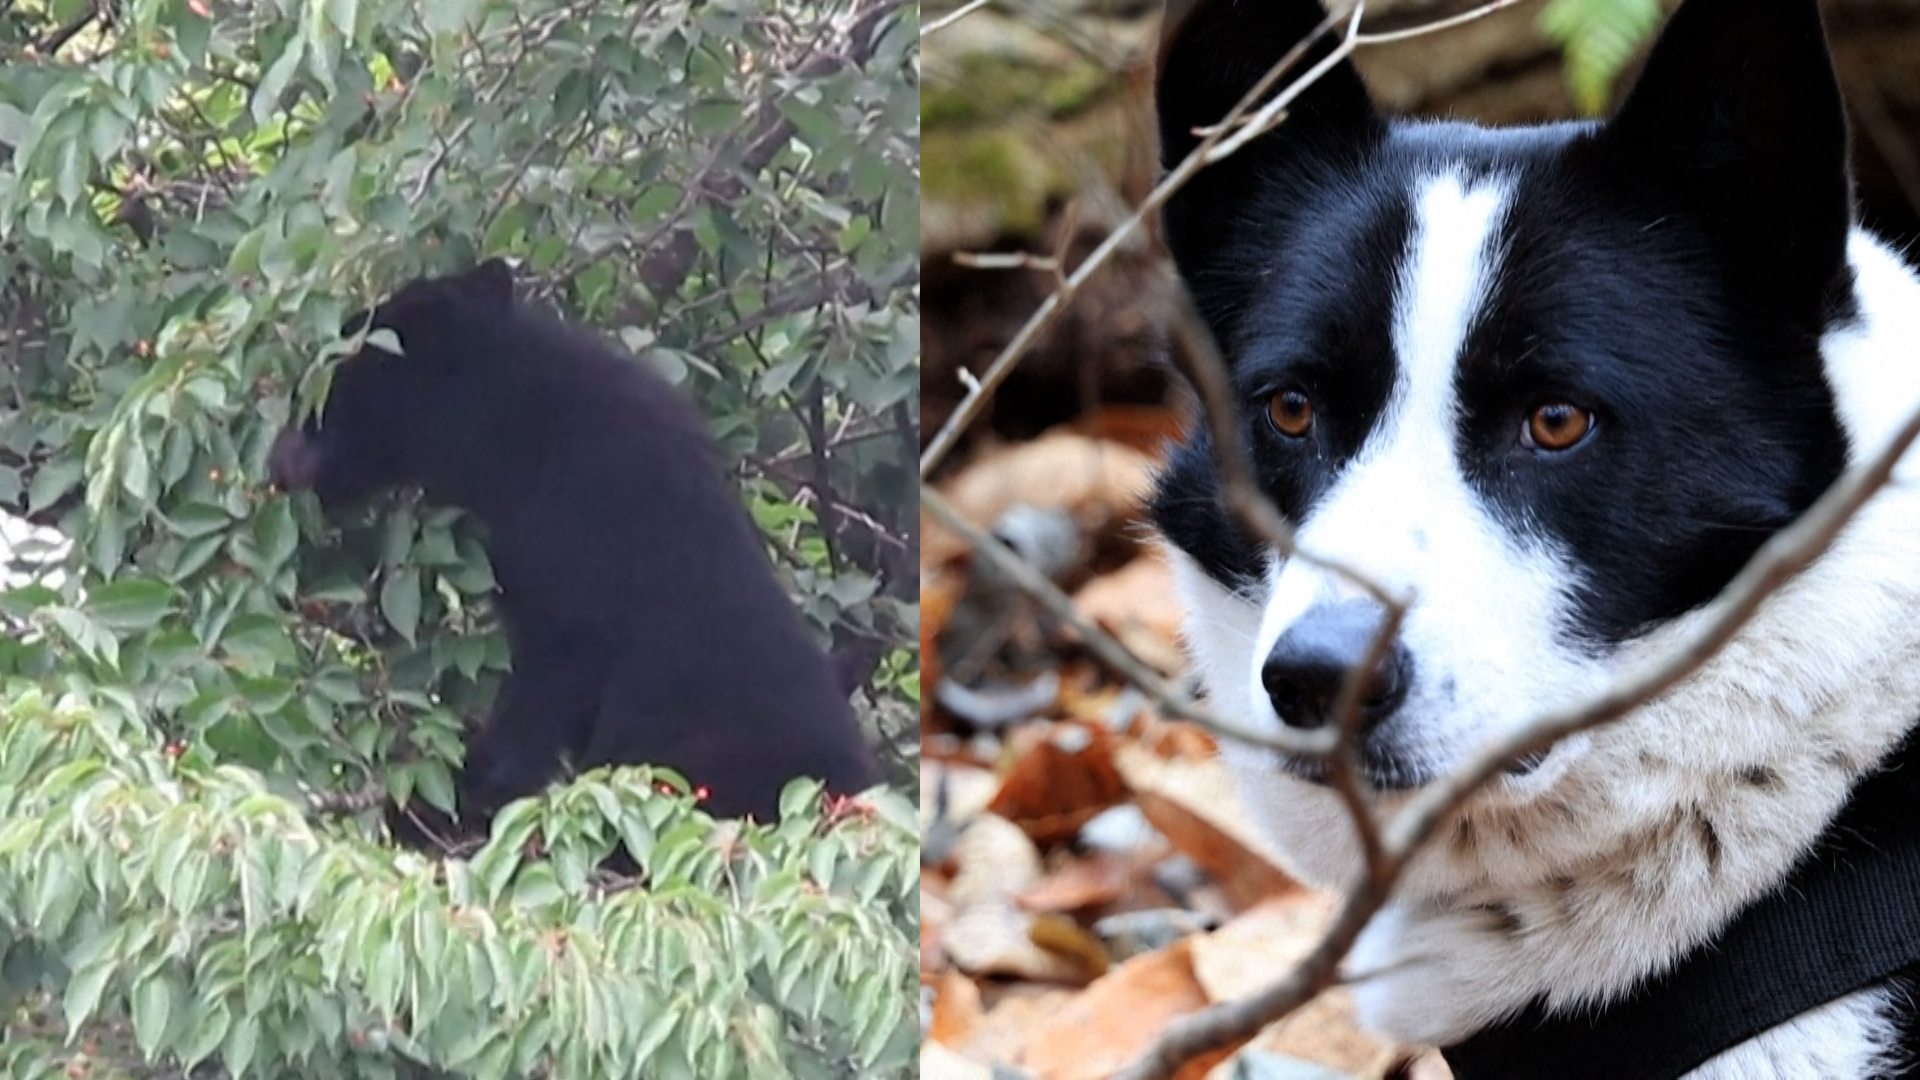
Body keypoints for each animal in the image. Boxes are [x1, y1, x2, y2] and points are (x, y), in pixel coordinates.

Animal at [267, 258, 880, 825]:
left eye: (319, 403)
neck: (502, 430)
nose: (274, 464)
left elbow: (554, 670)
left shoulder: (573, 541)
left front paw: (453, 798)